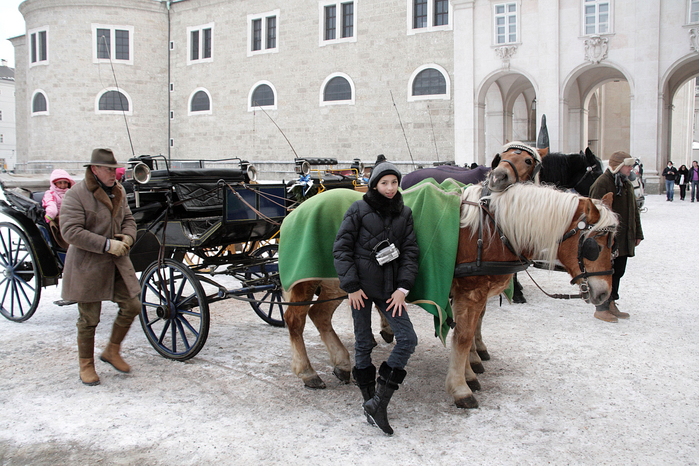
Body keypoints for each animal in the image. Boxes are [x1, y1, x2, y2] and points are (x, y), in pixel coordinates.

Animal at [278, 182, 616, 408]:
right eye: (593, 244)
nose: (603, 294)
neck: (490, 232)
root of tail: (296, 210)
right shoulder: (470, 293)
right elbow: (463, 337)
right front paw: (461, 387)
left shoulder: (474, 295)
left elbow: (466, 333)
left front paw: (469, 372)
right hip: (307, 282)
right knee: (295, 320)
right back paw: (307, 371)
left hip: (339, 283)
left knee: (320, 315)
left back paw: (341, 362)